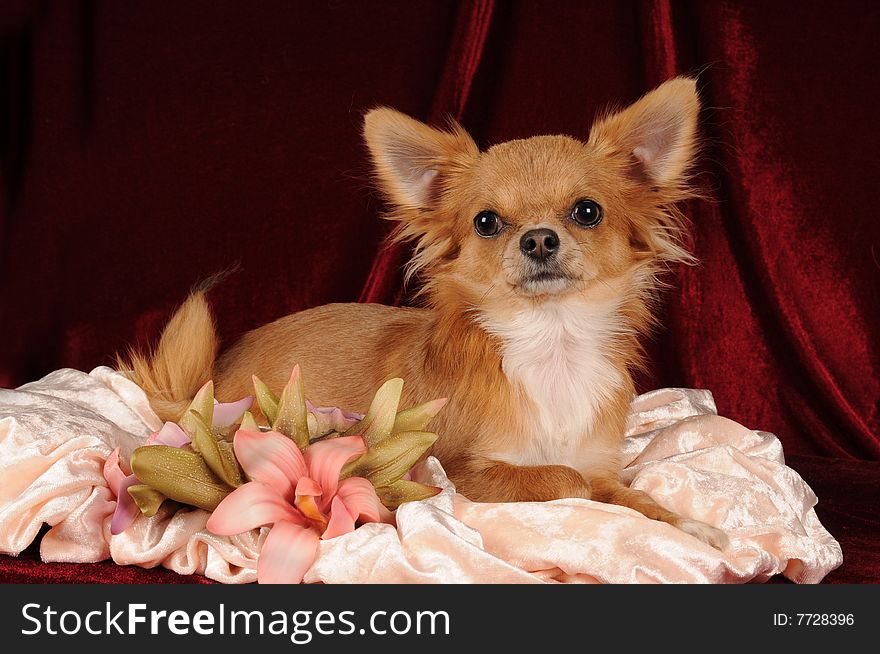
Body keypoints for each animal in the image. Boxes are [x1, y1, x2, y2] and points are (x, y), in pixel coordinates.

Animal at [124, 75, 728, 548]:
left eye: (587, 212)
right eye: (487, 222)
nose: (538, 239)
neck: (550, 340)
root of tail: (208, 380)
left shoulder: (601, 462)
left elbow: (629, 493)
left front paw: (689, 527)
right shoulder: (461, 468)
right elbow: (567, 479)